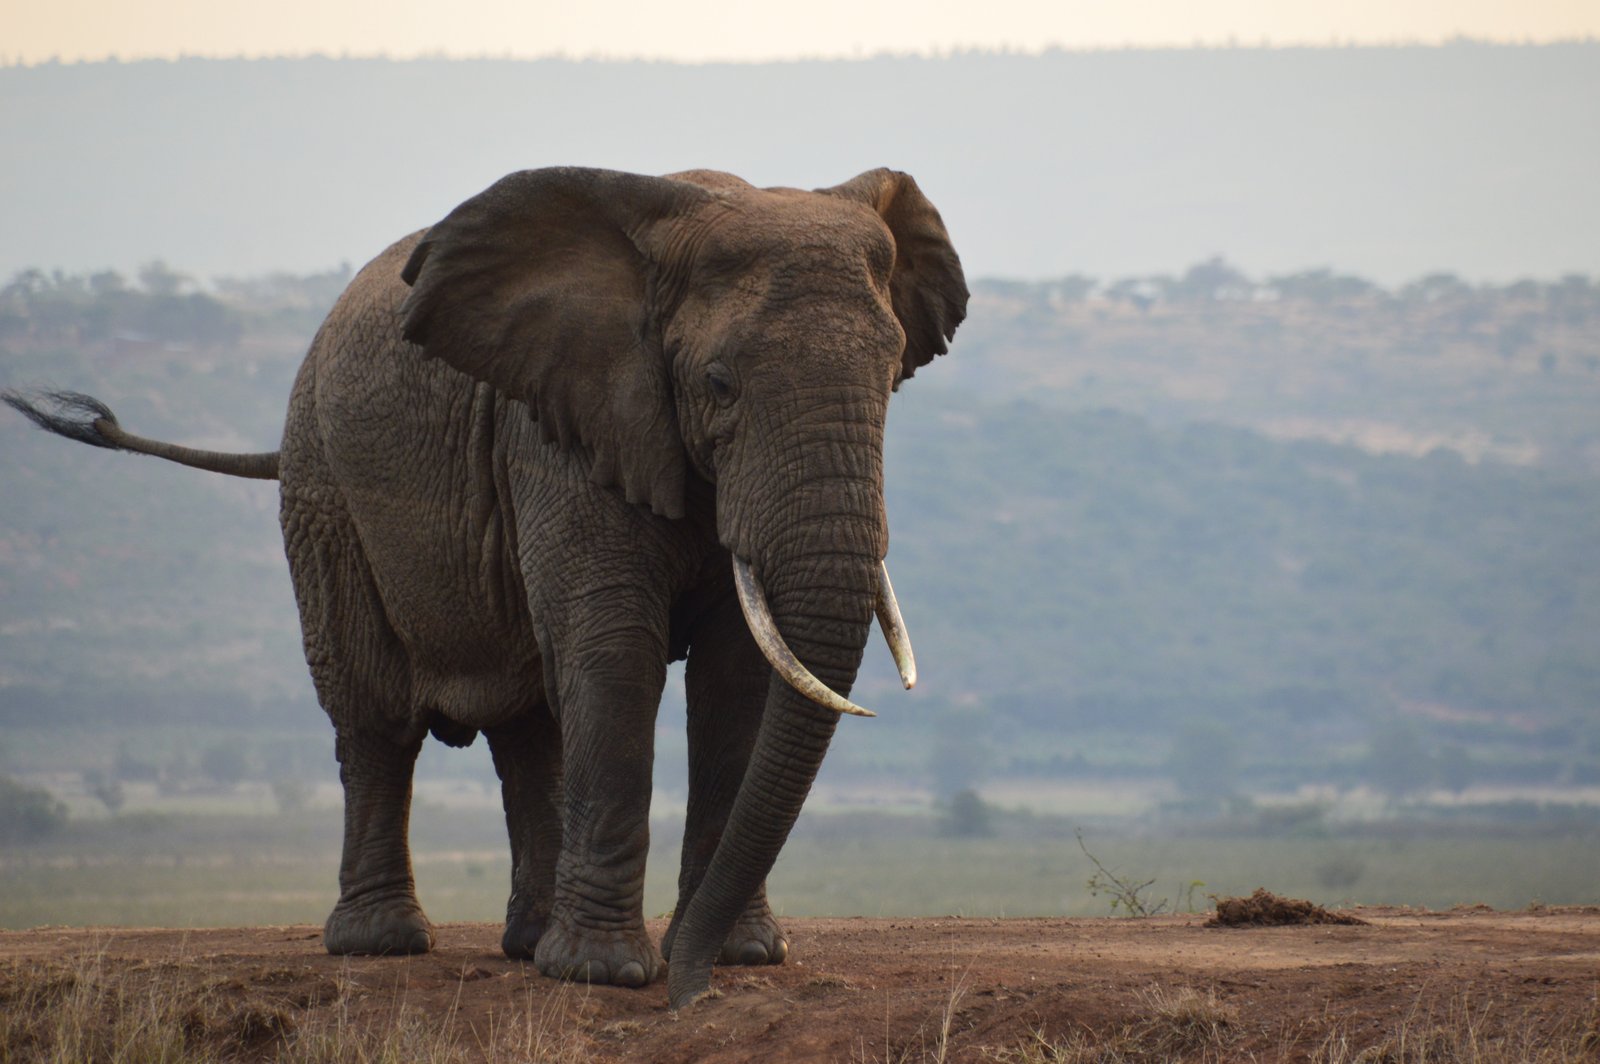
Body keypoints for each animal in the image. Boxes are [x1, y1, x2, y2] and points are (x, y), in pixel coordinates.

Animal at [4, 165, 967, 1008]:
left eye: (892, 375)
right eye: (719, 383)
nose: (685, 994)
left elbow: (737, 675)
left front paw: (742, 958)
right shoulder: (559, 433)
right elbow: (614, 652)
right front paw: (608, 976)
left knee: (527, 721)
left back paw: (528, 946)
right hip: (325, 493)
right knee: (374, 717)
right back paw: (387, 943)